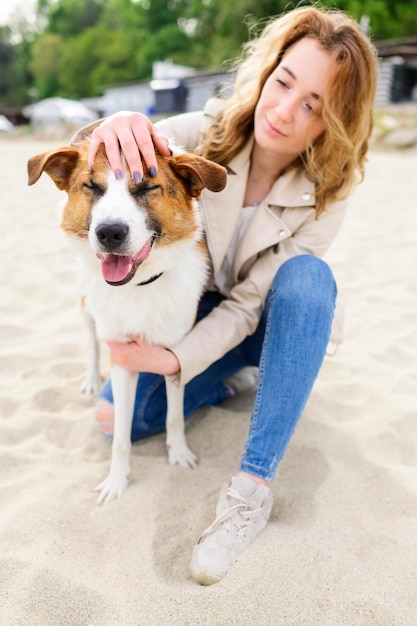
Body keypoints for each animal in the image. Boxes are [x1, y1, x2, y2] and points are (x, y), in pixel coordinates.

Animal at [27, 140, 226, 502]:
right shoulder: (122, 358)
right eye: (91, 187)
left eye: (147, 187)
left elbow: (175, 416)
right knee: (91, 342)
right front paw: (116, 480)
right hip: (87, 307)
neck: (139, 285)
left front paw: (178, 454)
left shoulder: (175, 353)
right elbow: (120, 433)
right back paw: (92, 379)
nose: (109, 232)